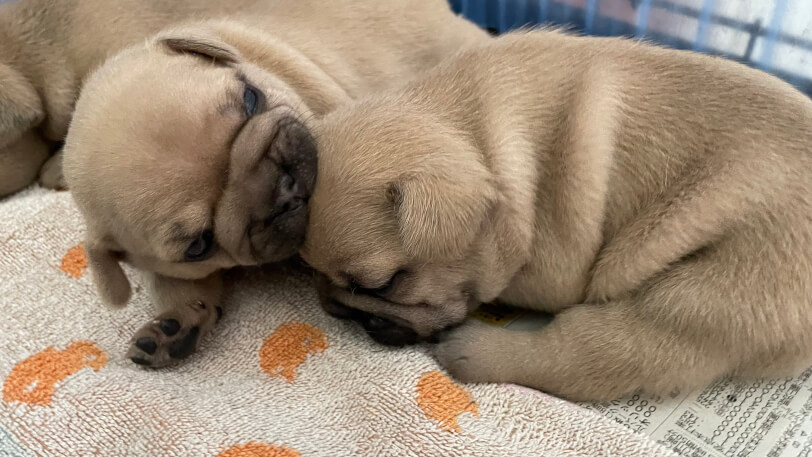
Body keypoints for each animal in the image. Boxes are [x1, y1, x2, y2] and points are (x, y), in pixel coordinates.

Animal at [63, 1, 488, 366]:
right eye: (200, 245)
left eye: (251, 99)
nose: (281, 189)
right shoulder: (172, 266)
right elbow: (175, 285)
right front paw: (177, 323)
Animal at [302, 29, 812, 400]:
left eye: (382, 286)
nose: (336, 309)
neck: (476, 141)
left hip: (698, 302)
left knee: (590, 354)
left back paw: (473, 351)